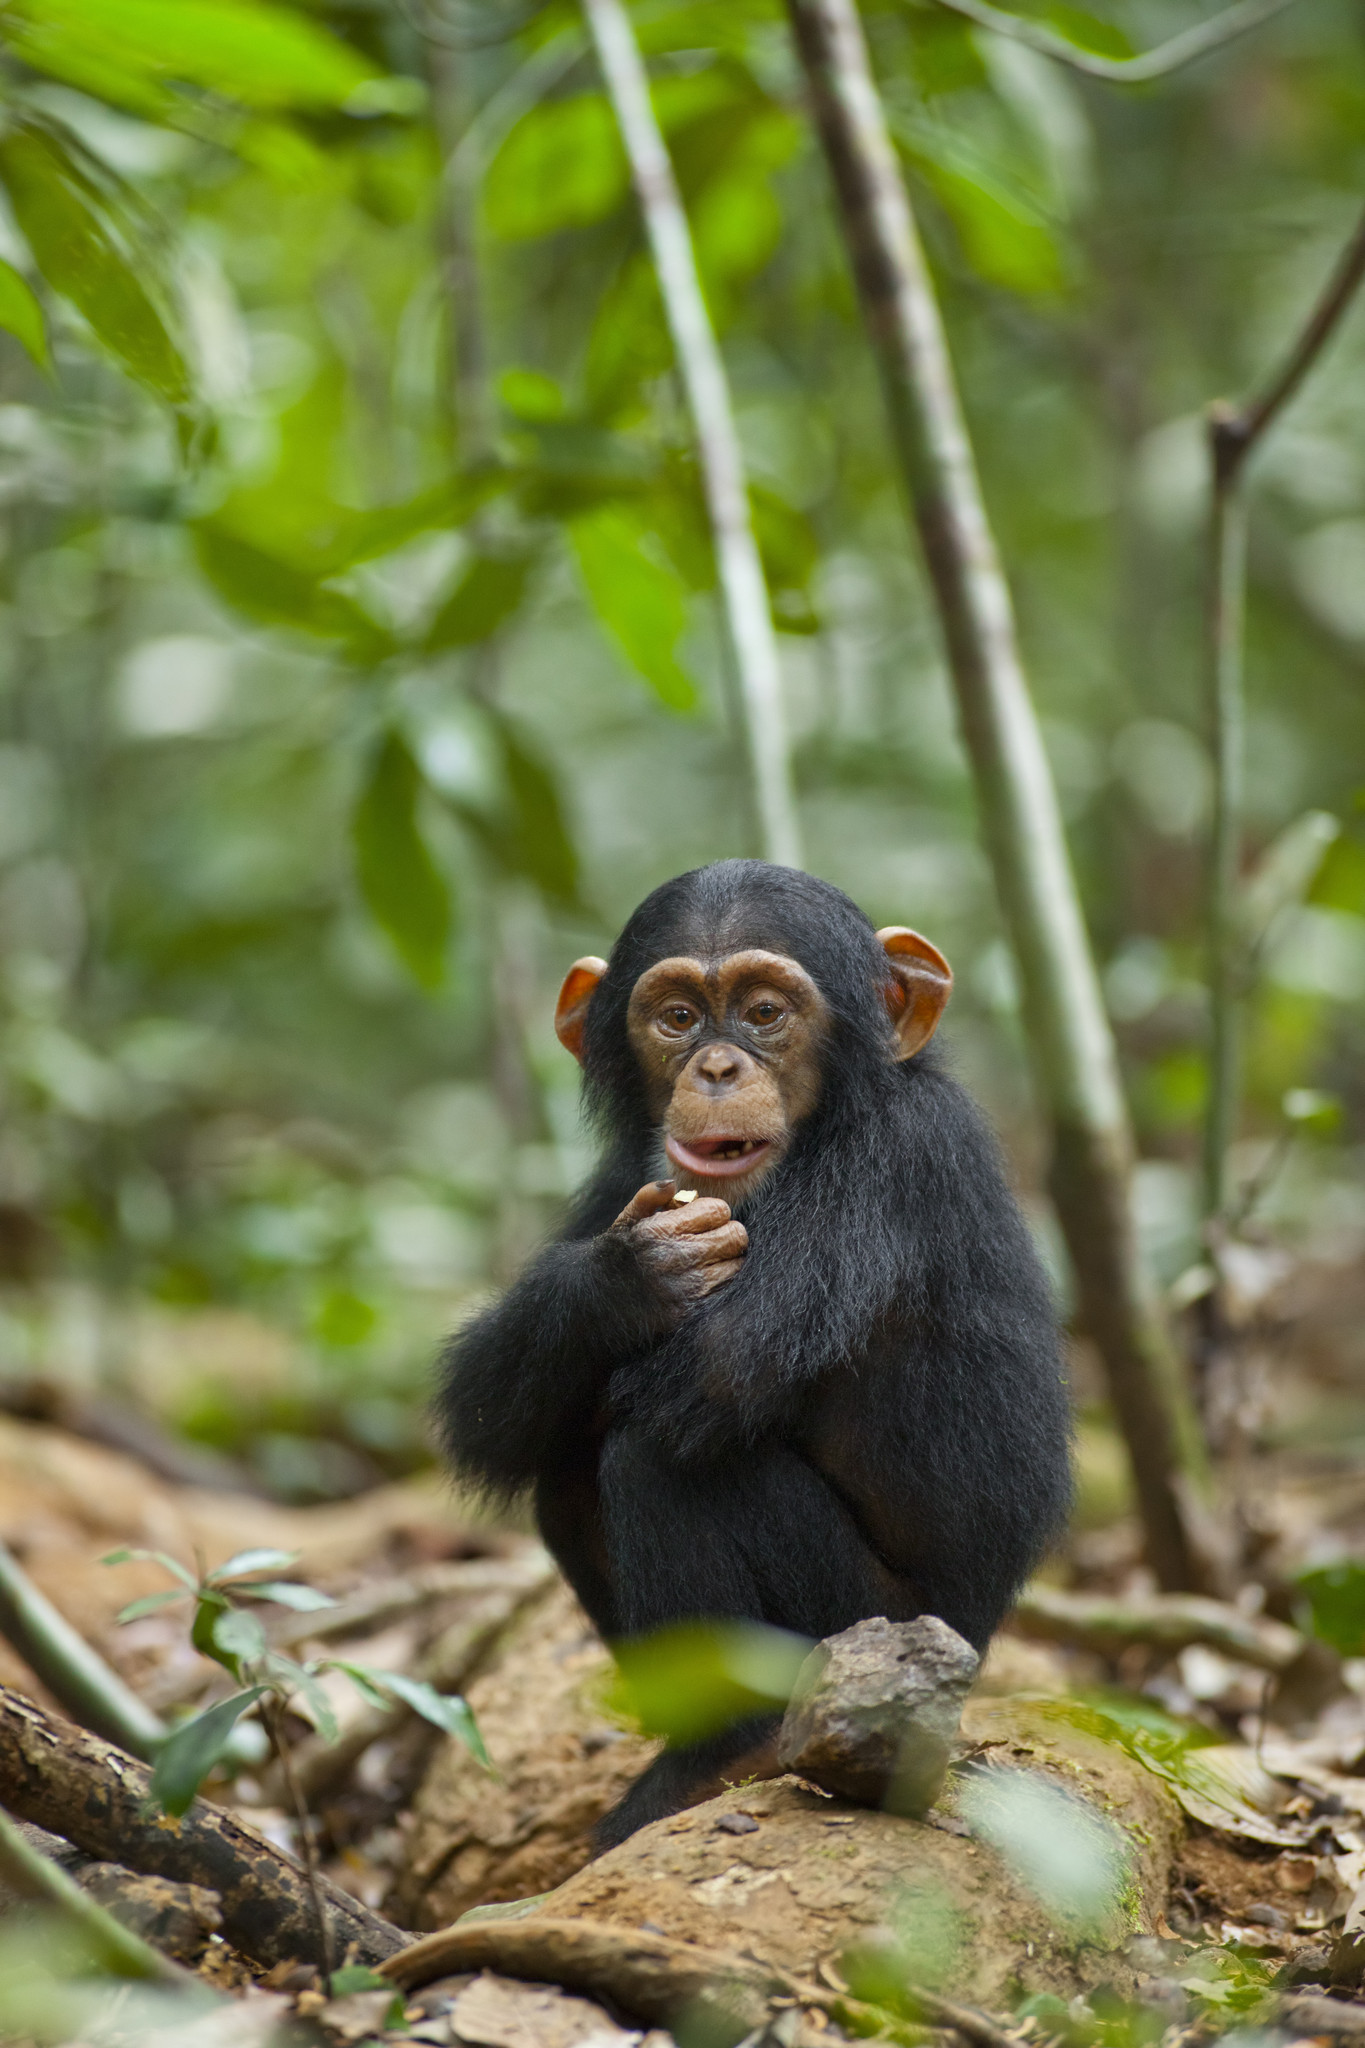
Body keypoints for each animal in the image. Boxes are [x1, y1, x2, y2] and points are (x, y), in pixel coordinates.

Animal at [436, 860, 1071, 1848]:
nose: (717, 1066)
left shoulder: (892, 1160)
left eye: (766, 1011)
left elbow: (717, 1366)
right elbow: (487, 1412)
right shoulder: (627, 1174)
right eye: (677, 1017)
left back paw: (728, 1748)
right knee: (564, 1462)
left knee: (659, 1455)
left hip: (864, 1618)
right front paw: (625, 1276)